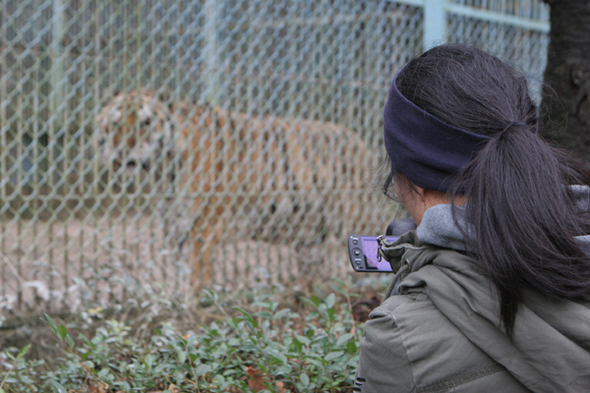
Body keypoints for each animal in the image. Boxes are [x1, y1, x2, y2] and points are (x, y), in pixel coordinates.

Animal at [96, 91, 384, 288]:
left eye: (144, 123)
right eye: (115, 123)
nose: (121, 152)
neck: (159, 173)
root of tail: (359, 142)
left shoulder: (202, 231)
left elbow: (196, 282)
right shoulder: (176, 229)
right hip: (311, 236)